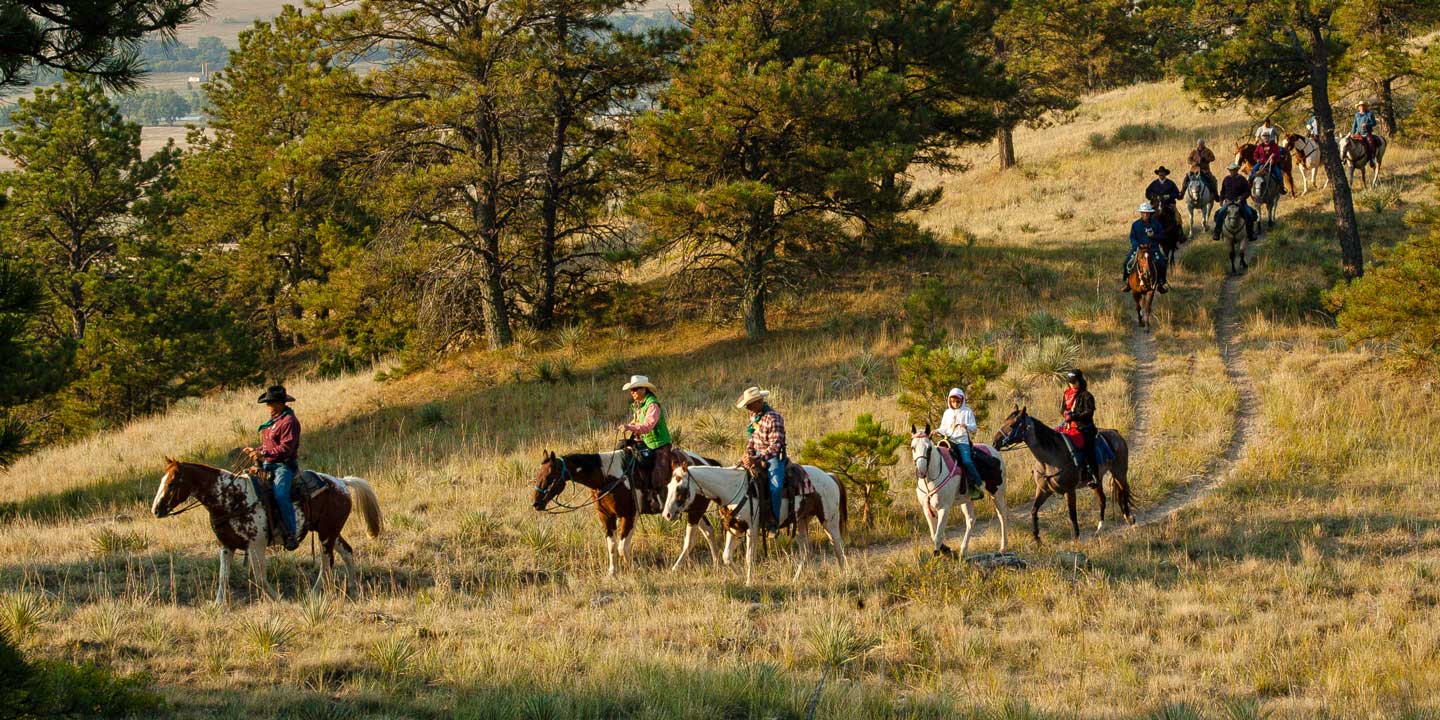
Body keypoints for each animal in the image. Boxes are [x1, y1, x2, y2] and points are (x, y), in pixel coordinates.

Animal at [151, 457, 383, 604]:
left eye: (172, 483)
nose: (156, 509)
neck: (232, 498)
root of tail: (342, 482)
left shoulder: (256, 545)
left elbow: (260, 577)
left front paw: (280, 600)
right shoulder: (227, 546)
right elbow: (223, 576)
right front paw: (217, 605)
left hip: (326, 534)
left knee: (327, 563)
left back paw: (314, 593)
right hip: (331, 532)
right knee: (347, 552)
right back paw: (353, 588)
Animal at [532, 446, 720, 576]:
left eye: (550, 476)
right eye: (538, 474)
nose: (535, 503)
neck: (607, 477)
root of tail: (706, 462)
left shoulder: (629, 515)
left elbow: (623, 546)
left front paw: (635, 570)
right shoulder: (606, 517)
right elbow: (612, 545)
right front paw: (612, 572)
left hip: (695, 511)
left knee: (690, 540)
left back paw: (676, 567)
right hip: (694, 510)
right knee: (709, 532)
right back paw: (717, 563)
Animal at [659, 460, 840, 584]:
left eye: (680, 488)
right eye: (668, 486)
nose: (667, 514)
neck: (732, 489)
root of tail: (829, 476)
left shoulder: (751, 530)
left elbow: (749, 557)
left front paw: (748, 582)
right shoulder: (735, 529)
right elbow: (726, 556)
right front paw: (739, 576)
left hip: (829, 521)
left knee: (838, 546)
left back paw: (842, 573)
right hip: (802, 523)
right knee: (806, 553)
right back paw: (795, 580)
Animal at [915, 426, 1008, 555]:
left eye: (928, 448)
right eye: (913, 447)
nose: (921, 471)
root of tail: (995, 451)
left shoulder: (944, 508)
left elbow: (938, 536)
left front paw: (941, 552)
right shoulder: (926, 509)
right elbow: (934, 535)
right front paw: (946, 549)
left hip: (997, 492)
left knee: (1002, 515)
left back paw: (1003, 546)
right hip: (967, 500)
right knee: (971, 520)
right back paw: (963, 550)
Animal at [990, 408, 1134, 541]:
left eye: (1012, 425)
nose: (994, 442)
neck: (1049, 459)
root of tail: (1116, 433)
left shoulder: (1069, 491)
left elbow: (1072, 514)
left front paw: (1076, 537)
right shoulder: (1043, 490)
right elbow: (1034, 510)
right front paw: (1036, 537)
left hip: (1119, 473)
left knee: (1124, 491)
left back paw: (1130, 519)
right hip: (1096, 481)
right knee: (1102, 499)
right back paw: (1100, 528)